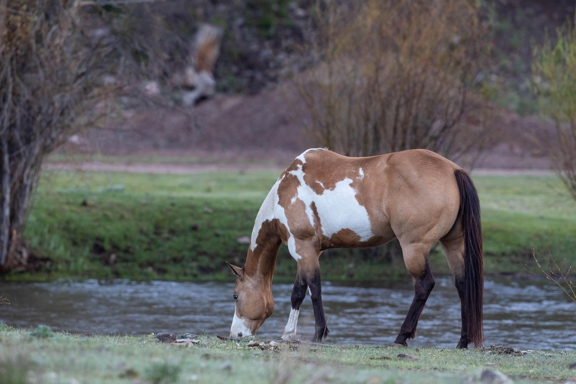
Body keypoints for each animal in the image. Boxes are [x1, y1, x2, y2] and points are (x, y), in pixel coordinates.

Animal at [227, 148, 484, 348]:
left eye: (236, 295)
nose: (234, 335)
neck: (285, 192)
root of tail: (452, 170)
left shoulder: (302, 248)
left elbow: (314, 289)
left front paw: (318, 334)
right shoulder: (307, 251)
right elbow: (298, 292)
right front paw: (289, 334)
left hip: (414, 248)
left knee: (424, 286)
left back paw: (401, 337)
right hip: (453, 244)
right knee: (463, 284)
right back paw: (462, 341)